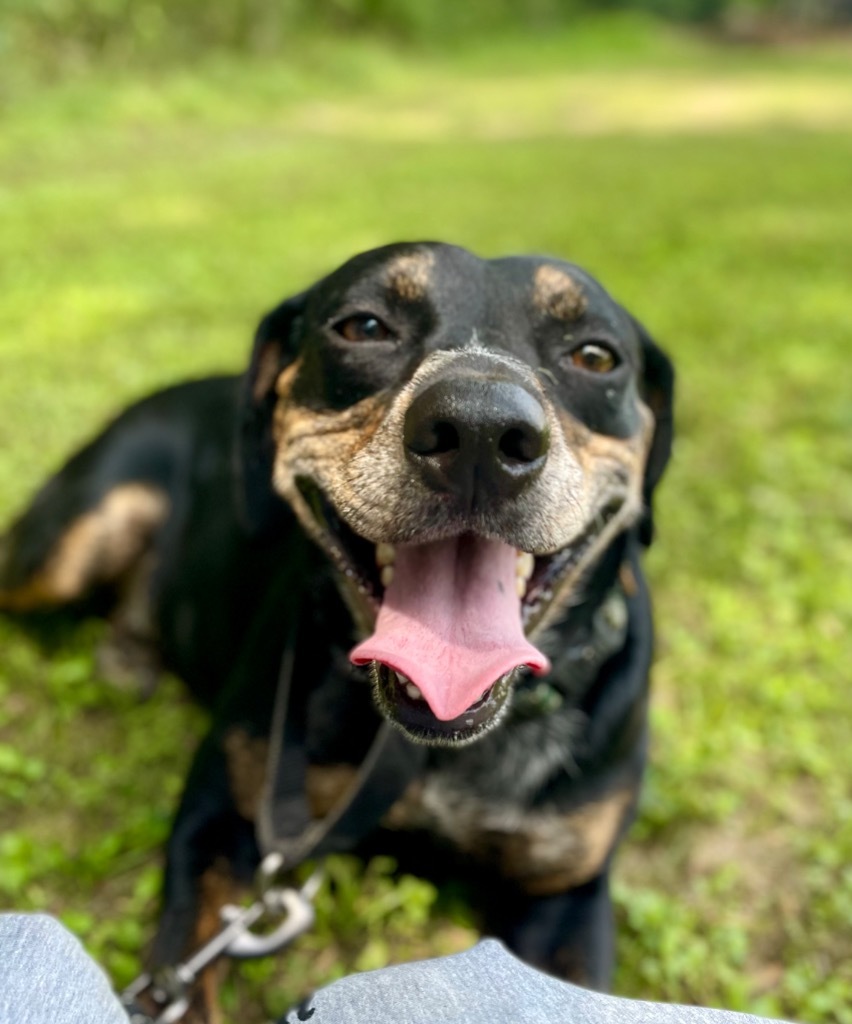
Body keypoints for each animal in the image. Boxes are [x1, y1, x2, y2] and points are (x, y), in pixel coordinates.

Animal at [0, 243, 671, 1011]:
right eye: (363, 325)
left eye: (595, 355)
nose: (480, 430)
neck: (428, 748)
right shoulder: (220, 818)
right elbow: (183, 982)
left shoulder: (566, 894)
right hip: (70, 540)